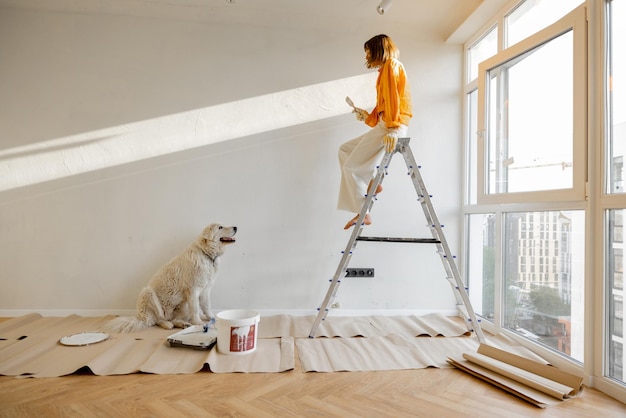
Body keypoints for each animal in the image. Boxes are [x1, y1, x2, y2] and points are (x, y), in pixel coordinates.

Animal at [103, 224, 235, 334]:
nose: (236, 227)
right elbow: (196, 309)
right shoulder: (193, 290)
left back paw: (183, 324)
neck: (206, 254)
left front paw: (213, 317)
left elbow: (206, 306)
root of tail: (140, 317)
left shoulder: (205, 290)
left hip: (182, 305)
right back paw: (168, 324)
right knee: (157, 320)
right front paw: (198, 323)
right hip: (148, 293)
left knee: (172, 319)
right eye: (220, 227)